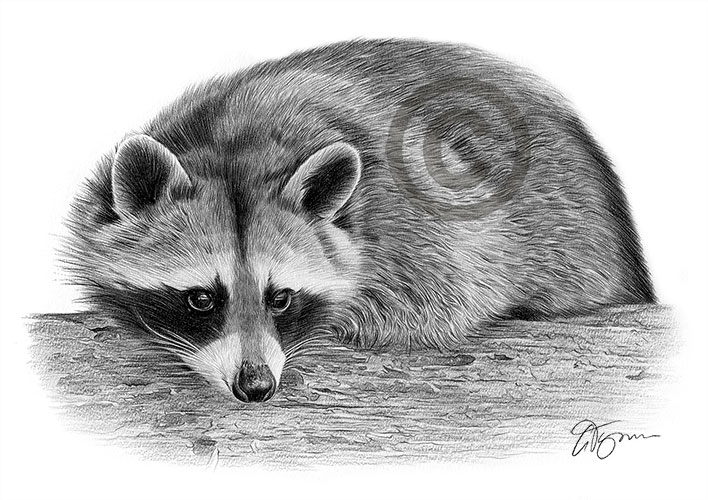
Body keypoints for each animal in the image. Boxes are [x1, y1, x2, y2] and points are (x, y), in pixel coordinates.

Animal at [63, 39, 654, 403]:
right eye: (202, 299)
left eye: (281, 298)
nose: (256, 388)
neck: (236, 144)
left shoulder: (428, 216)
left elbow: (448, 296)